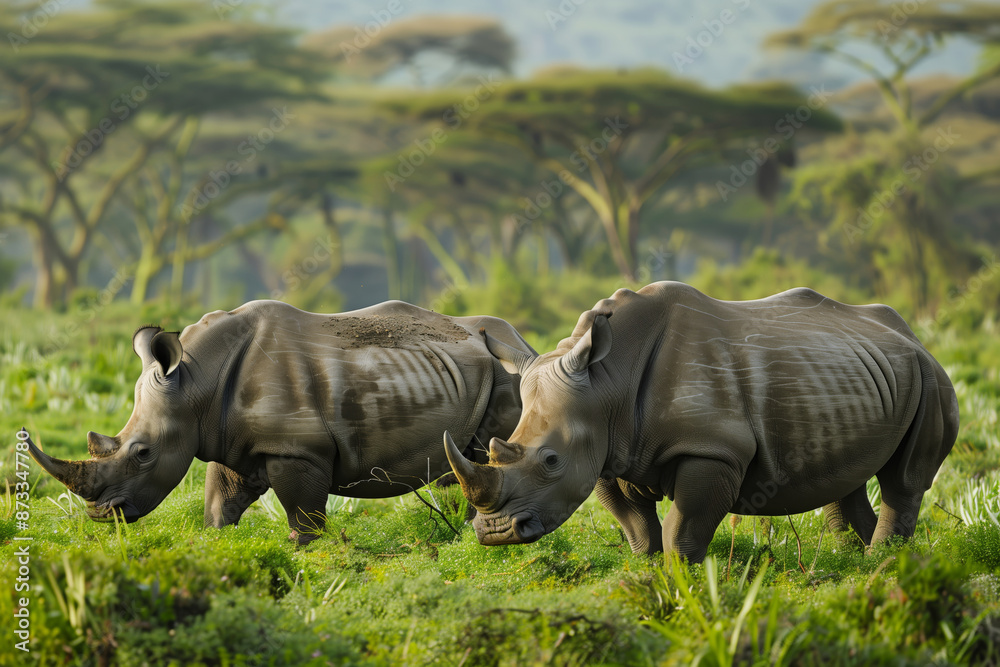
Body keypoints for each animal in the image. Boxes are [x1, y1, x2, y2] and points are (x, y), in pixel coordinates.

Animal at [28, 299, 534, 544]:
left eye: (144, 453)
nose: (101, 515)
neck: (194, 383)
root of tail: (523, 341)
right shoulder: (230, 439)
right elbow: (219, 503)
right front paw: (216, 544)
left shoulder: (298, 450)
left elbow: (304, 515)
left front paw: (304, 552)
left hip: (505, 373)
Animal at [445, 282, 959, 563]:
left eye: (550, 460)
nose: (496, 533)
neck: (607, 383)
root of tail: (913, 335)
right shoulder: (607, 453)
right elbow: (636, 527)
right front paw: (647, 573)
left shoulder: (713, 450)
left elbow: (683, 528)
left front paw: (682, 581)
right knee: (844, 479)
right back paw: (858, 563)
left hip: (932, 378)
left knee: (904, 480)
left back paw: (880, 565)